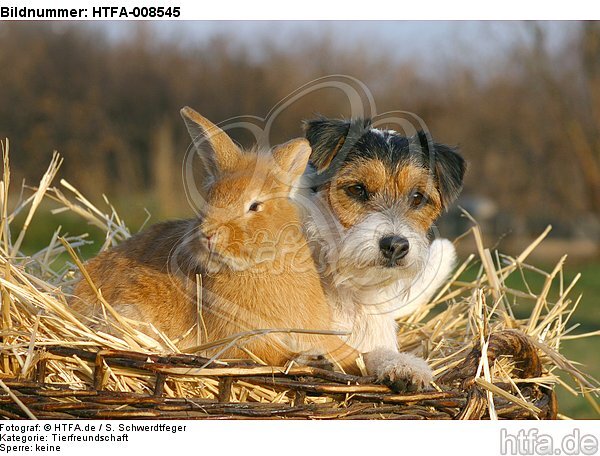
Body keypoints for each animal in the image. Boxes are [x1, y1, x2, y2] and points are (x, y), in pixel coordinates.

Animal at [70, 107, 360, 374]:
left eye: (255, 206)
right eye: (210, 197)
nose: (209, 234)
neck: (260, 265)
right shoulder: (239, 340)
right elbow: (272, 354)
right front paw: (310, 359)